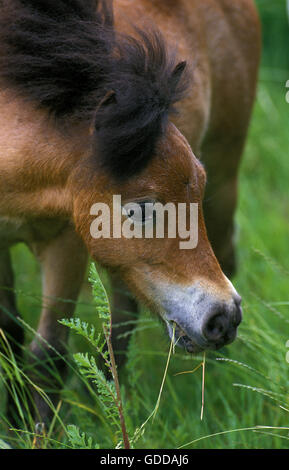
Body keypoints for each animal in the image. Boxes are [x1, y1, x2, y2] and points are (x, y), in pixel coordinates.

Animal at [0, 0, 260, 424]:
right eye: (140, 209)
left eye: (198, 186)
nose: (223, 318)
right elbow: (9, 335)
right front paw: (13, 422)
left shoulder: (67, 246)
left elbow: (48, 356)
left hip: (226, 183)